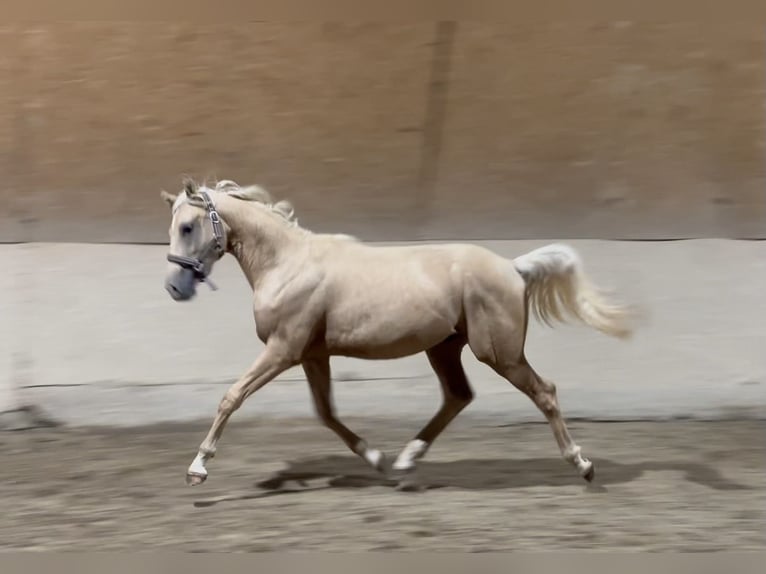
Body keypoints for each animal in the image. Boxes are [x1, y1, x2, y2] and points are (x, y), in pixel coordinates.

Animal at [162, 179, 636, 490]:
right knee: (458, 396)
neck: (287, 264)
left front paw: (197, 468)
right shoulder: (313, 355)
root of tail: (512, 267)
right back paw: (407, 461)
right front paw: (377, 459)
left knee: (545, 392)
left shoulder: (283, 350)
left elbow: (232, 396)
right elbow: (326, 413)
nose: (175, 288)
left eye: (187, 227)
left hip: (498, 353)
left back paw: (583, 465)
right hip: (445, 348)